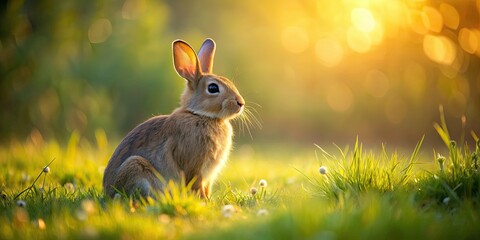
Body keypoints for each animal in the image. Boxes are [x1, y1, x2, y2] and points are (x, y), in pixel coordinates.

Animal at [101, 38, 244, 199]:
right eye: (213, 88)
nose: (241, 103)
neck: (199, 114)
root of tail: (108, 192)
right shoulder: (195, 168)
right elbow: (196, 185)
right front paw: (203, 201)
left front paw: (207, 200)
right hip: (135, 167)